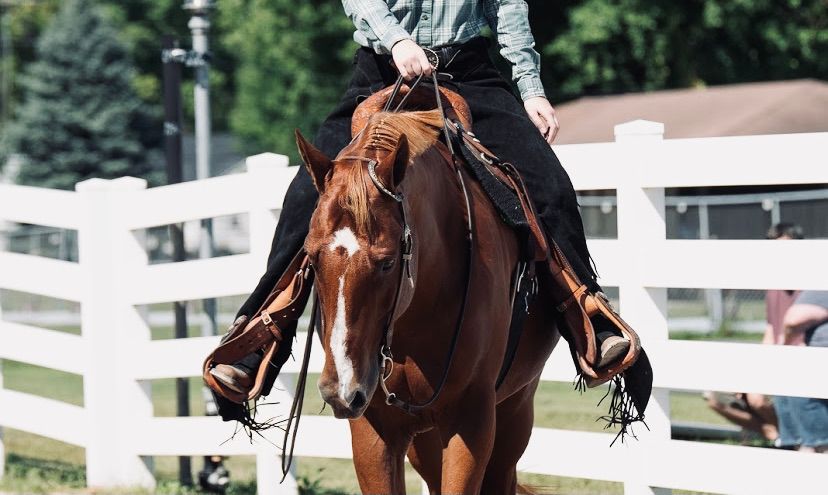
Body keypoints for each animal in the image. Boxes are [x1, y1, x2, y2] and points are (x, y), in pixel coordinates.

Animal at [294, 102, 560, 494]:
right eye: (311, 258)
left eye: (388, 262)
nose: (340, 389)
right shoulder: (374, 427)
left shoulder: (471, 422)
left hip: (515, 411)